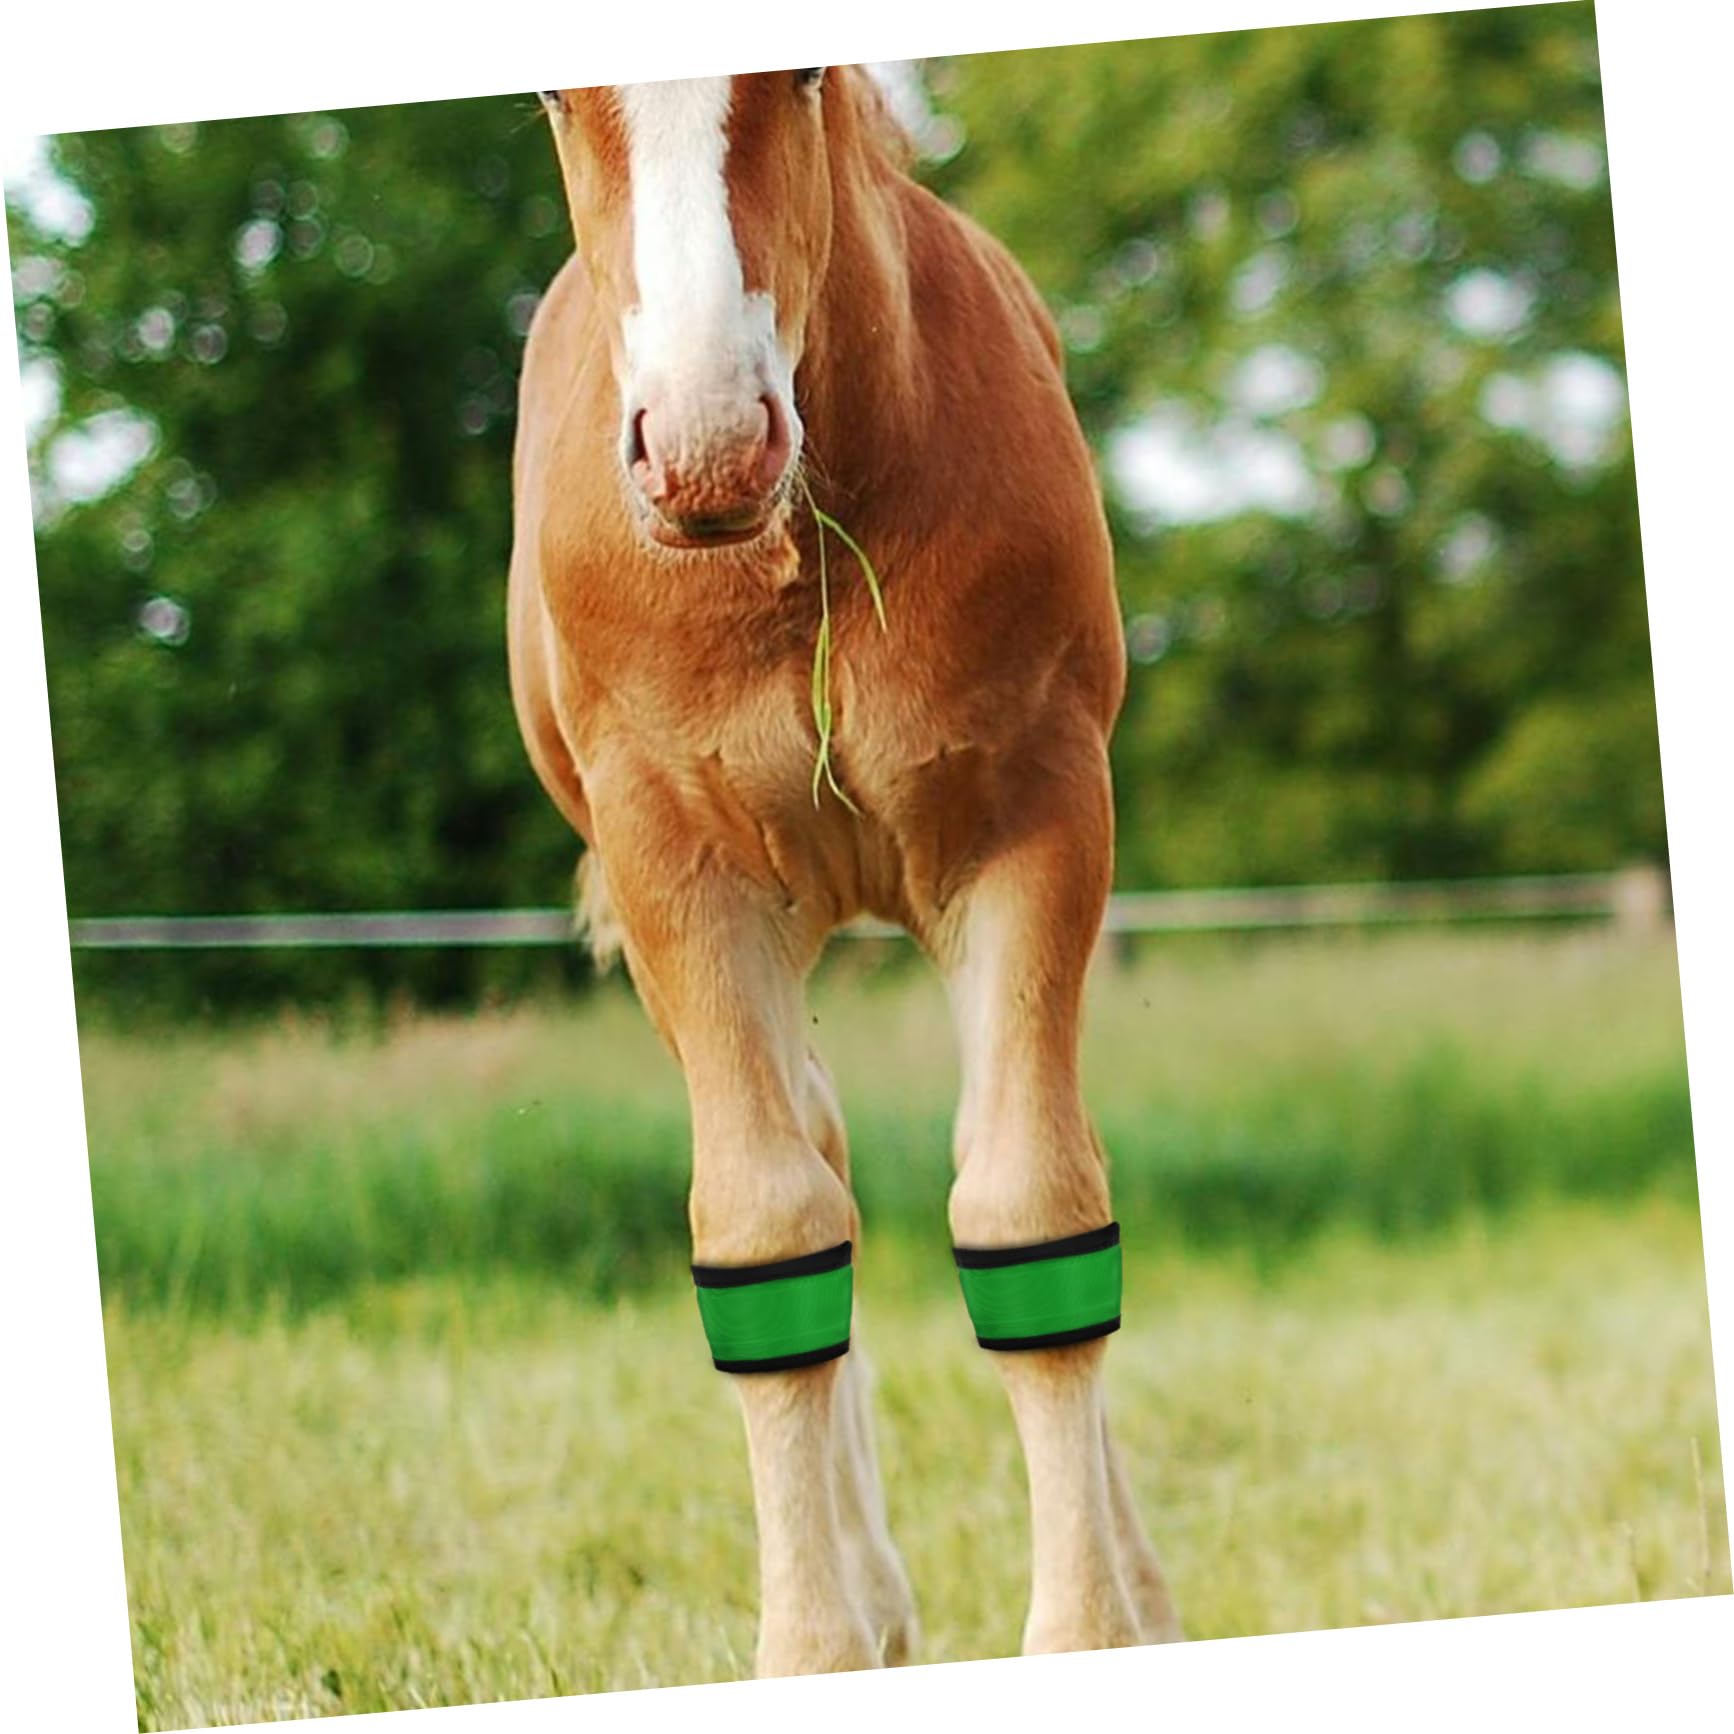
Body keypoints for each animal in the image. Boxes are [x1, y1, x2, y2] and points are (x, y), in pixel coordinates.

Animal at [507, 65, 1182, 1677]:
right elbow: (767, 1227)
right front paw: (817, 1642)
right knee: (810, 1157)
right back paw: (874, 1602)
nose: (705, 445)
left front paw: (1094, 1629)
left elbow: (1033, 1207)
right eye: (554, 92)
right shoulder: (673, 868)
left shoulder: (1033, 820)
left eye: (800, 77)